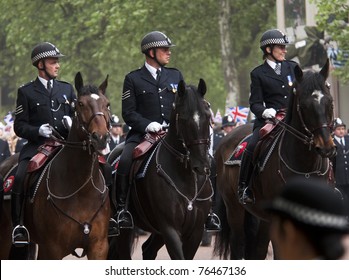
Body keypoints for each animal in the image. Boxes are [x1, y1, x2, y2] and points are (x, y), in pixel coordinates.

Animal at [0, 72, 111, 260]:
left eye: (107, 104)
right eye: (80, 104)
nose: (101, 138)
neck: (82, 189)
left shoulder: (99, 248)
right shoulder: (51, 250)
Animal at [109, 78, 212, 258]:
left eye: (207, 116)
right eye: (183, 118)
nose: (201, 165)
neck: (185, 177)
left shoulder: (195, 231)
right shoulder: (170, 228)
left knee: (148, 250)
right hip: (124, 230)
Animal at [212, 59, 334, 260]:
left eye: (330, 102)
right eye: (304, 105)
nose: (326, 147)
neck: (305, 167)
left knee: (258, 249)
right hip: (234, 208)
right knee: (238, 244)